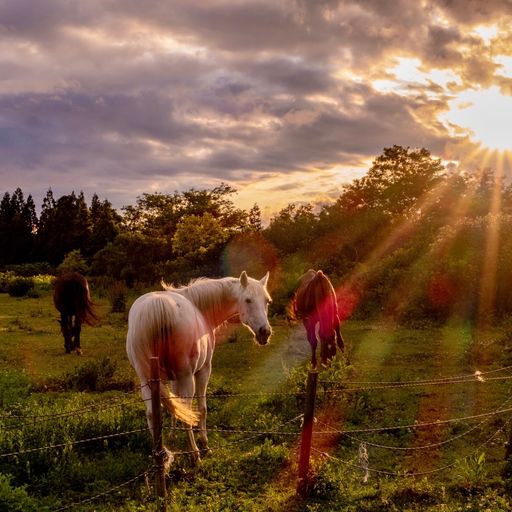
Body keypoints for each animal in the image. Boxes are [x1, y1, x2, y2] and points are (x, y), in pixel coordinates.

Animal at [126, 272, 272, 464]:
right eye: (248, 300)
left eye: (267, 301)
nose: (265, 332)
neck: (200, 308)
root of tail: (157, 306)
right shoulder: (203, 371)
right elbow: (201, 408)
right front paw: (204, 444)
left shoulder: (172, 379)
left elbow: (175, 407)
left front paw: (172, 435)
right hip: (187, 377)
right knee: (187, 409)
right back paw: (195, 454)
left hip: (146, 380)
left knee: (152, 414)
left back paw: (161, 455)